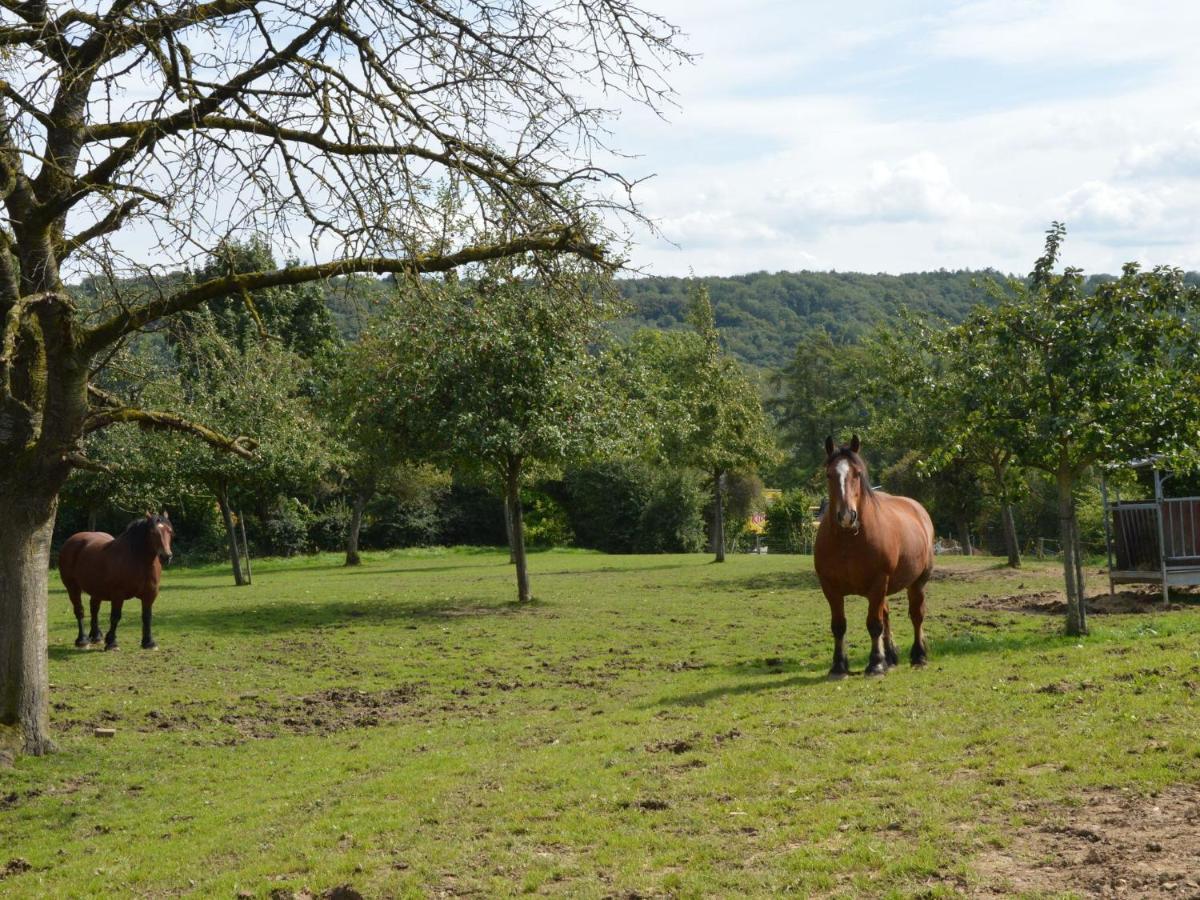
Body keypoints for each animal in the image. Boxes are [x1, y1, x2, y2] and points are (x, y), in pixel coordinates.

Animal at [60, 511, 175, 652]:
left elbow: (147, 616)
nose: (166, 556)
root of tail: (71, 541)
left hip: (96, 589)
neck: (138, 561)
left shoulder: (150, 594)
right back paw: (82, 640)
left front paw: (149, 643)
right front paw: (112, 643)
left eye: (170, 531)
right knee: (79, 610)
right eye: (153, 532)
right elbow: (115, 617)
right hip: (72, 587)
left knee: (94, 609)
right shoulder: (118, 595)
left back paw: (96, 636)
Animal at [811, 441, 931, 681]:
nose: (847, 516)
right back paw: (890, 658)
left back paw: (918, 657)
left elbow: (874, 624)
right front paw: (838, 666)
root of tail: (918, 509)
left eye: (857, 473)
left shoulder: (877, 583)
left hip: (917, 583)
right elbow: (839, 626)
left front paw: (875, 664)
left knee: (916, 616)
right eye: (829, 474)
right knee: (887, 615)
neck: (848, 540)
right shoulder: (830, 587)